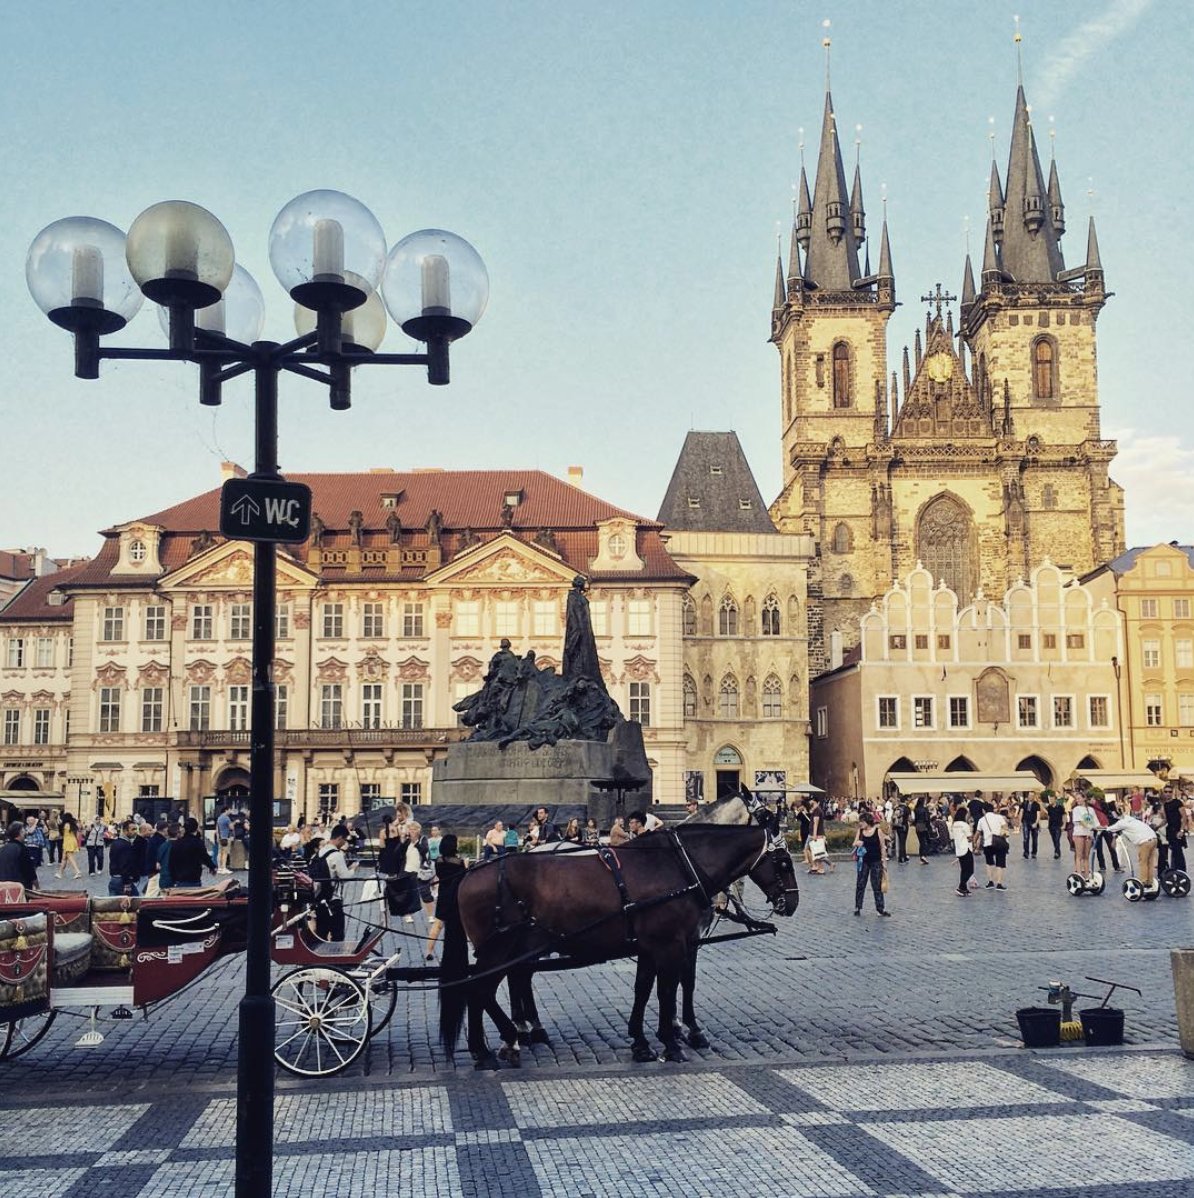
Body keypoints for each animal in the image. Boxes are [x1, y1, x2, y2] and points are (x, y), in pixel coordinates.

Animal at [440, 805, 799, 1068]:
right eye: (783, 862)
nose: (792, 903)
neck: (680, 866)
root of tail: (470, 872)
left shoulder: (652, 946)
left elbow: (644, 989)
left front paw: (642, 1042)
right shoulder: (672, 944)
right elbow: (670, 990)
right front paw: (674, 1041)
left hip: (518, 946)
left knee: (494, 985)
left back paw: (495, 1044)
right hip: (499, 948)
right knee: (482, 988)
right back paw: (506, 1040)